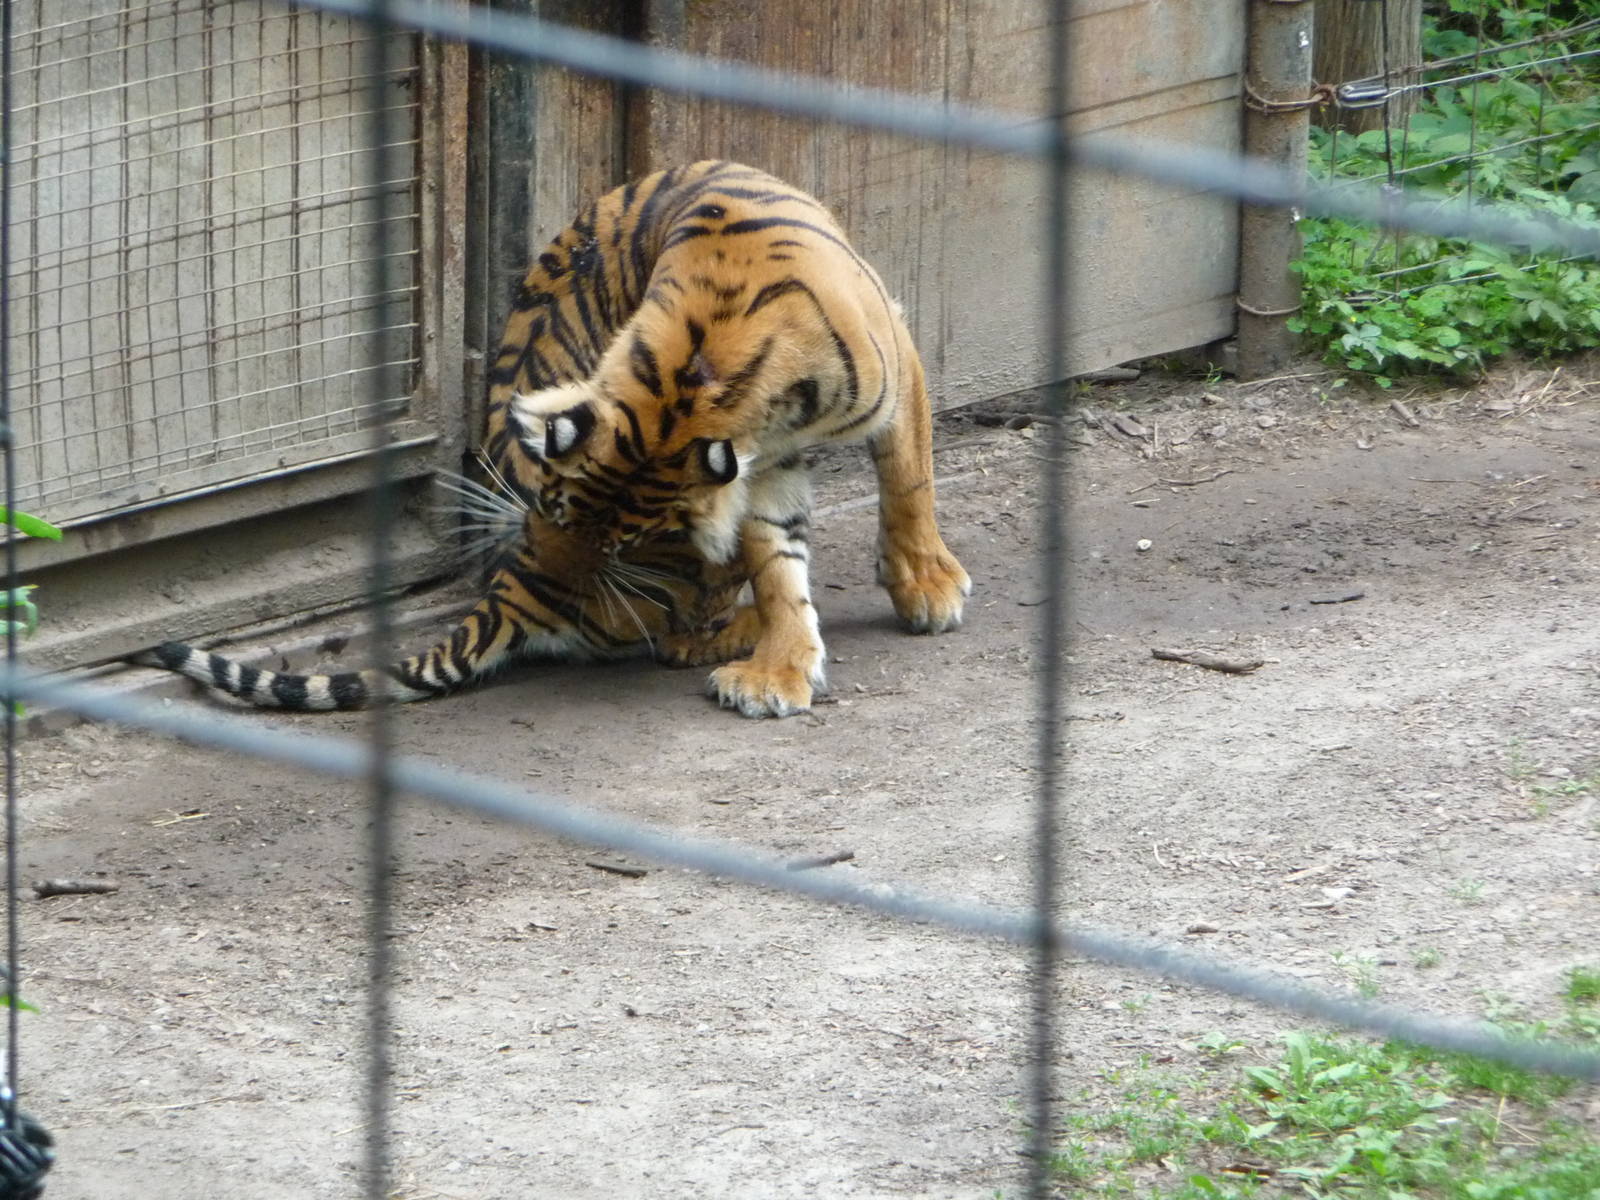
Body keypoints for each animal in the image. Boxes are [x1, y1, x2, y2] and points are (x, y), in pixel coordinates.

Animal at [137, 160, 970, 717]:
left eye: (620, 541)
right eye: (573, 521)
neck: (690, 388)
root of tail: (517, 584)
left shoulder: (885, 373)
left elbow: (905, 480)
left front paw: (921, 586)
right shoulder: (758, 469)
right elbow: (776, 561)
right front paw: (782, 664)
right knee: (672, 631)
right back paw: (727, 632)